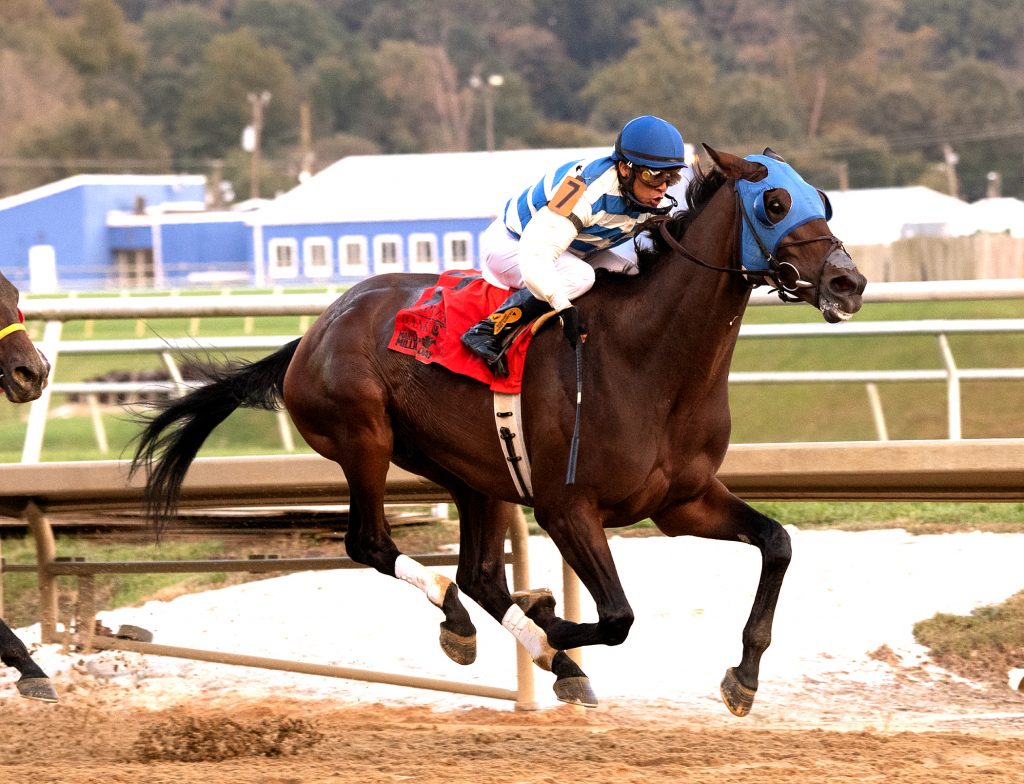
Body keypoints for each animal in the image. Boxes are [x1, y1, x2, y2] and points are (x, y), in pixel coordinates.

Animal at [128, 147, 864, 720]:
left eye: (824, 200)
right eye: (774, 203)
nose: (849, 281)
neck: (648, 361)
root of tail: (313, 333)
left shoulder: (682, 502)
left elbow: (776, 542)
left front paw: (744, 678)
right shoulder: (568, 507)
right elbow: (618, 616)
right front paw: (548, 620)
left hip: (472, 471)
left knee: (478, 573)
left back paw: (529, 651)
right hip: (365, 438)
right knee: (373, 543)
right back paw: (484, 625)